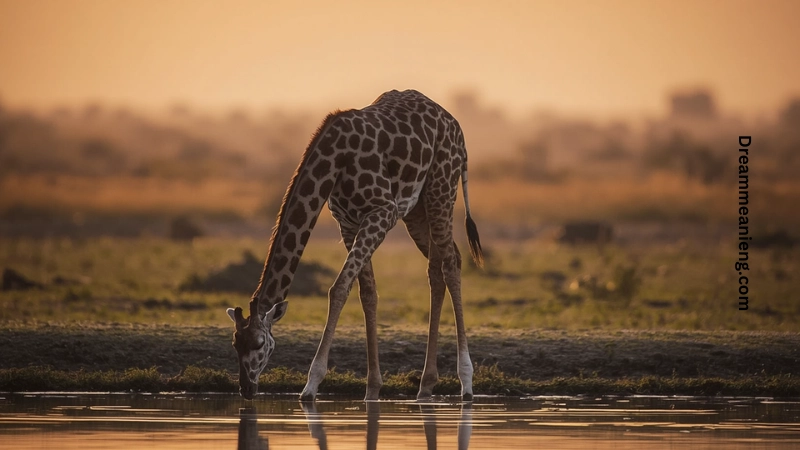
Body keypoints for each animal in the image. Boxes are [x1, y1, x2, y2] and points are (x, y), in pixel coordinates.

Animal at [226, 89, 483, 401]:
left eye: (260, 343)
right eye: (235, 343)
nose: (246, 388)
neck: (334, 160)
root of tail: (455, 125)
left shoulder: (382, 212)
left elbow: (338, 289)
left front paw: (311, 385)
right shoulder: (347, 222)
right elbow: (367, 293)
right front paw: (372, 388)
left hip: (441, 191)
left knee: (451, 264)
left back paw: (466, 381)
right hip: (417, 211)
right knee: (438, 268)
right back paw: (426, 385)